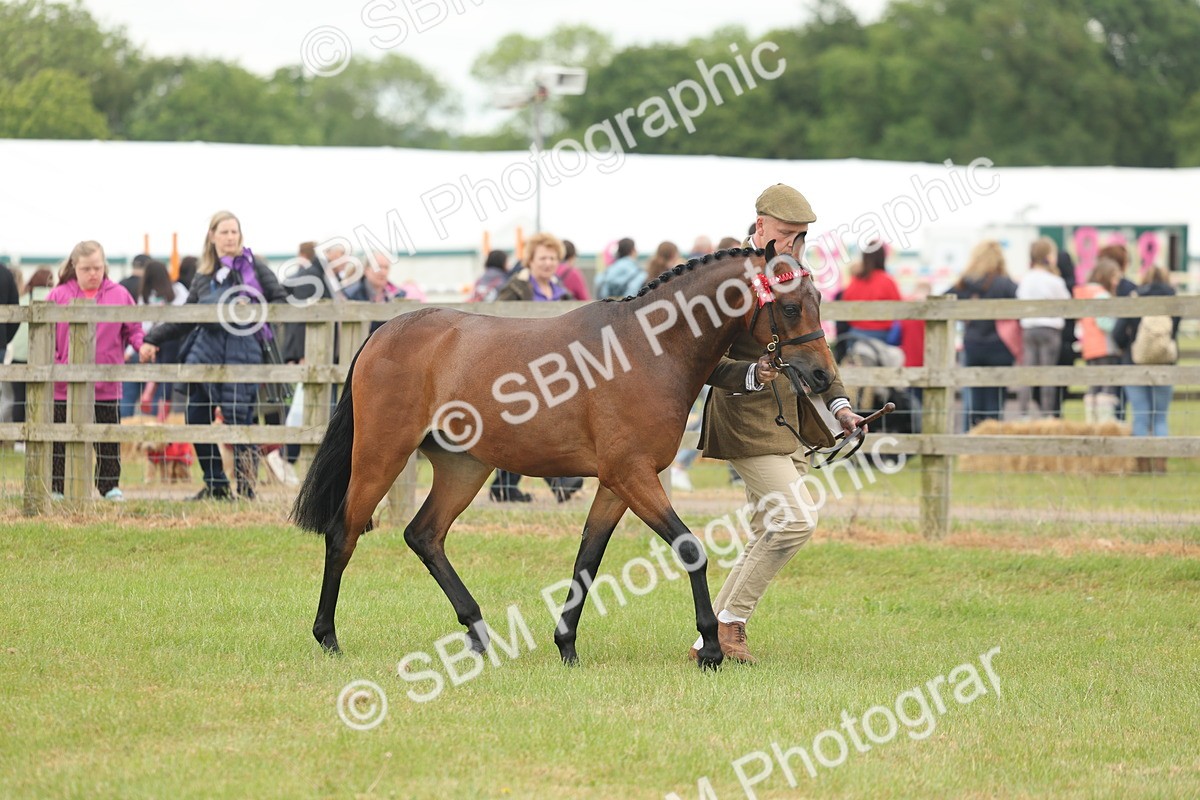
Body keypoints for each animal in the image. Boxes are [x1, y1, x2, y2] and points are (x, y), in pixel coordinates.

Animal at [291, 242, 840, 670]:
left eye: (816, 300)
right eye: (791, 307)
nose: (821, 377)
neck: (649, 348)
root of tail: (384, 332)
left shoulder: (617, 484)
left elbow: (588, 559)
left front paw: (567, 644)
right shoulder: (633, 475)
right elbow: (690, 549)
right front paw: (710, 648)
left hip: (464, 466)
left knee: (424, 535)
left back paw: (479, 633)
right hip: (381, 455)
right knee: (343, 534)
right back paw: (328, 637)